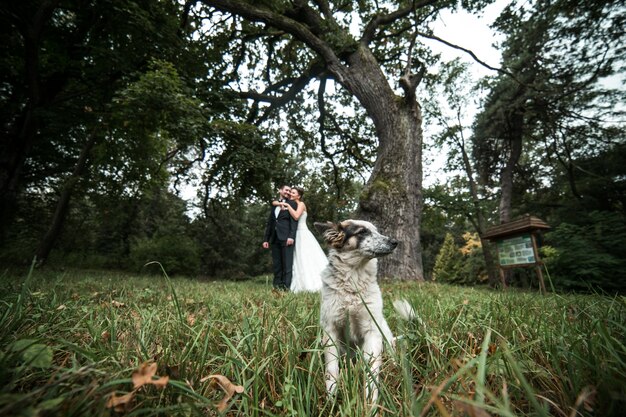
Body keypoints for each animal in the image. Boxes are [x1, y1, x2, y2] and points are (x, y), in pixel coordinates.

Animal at [312, 219, 414, 404]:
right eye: (362, 232)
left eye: (377, 231)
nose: (395, 242)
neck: (354, 278)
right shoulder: (330, 331)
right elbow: (331, 369)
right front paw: (331, 397)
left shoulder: (372, 331)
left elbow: (372, 372)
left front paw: (370, 401)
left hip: (385, 337)